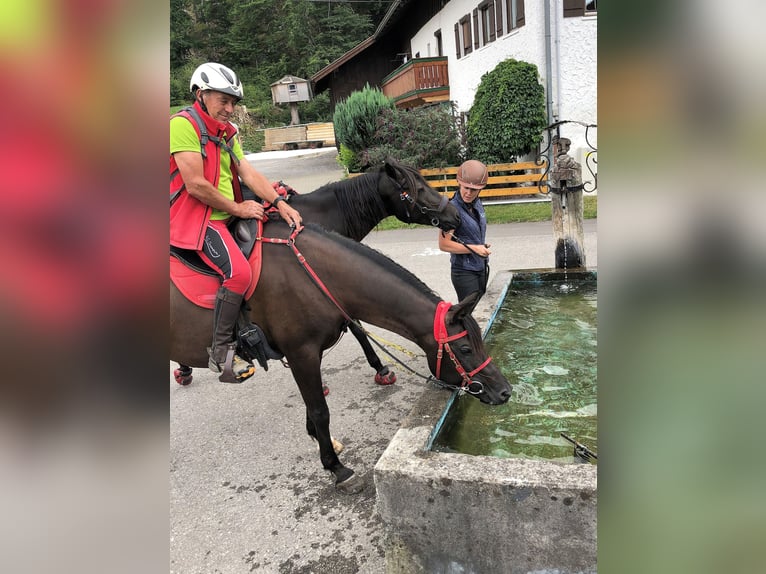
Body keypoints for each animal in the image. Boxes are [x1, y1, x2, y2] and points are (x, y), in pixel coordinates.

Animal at [170, 222, 512, 493]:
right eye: (465, 349)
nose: (504, 391)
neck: (313, 277)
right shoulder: (302, 352)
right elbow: (321, 410)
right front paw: (337, 468)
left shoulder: (309, 354)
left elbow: (312, 406)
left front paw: (322, 443)